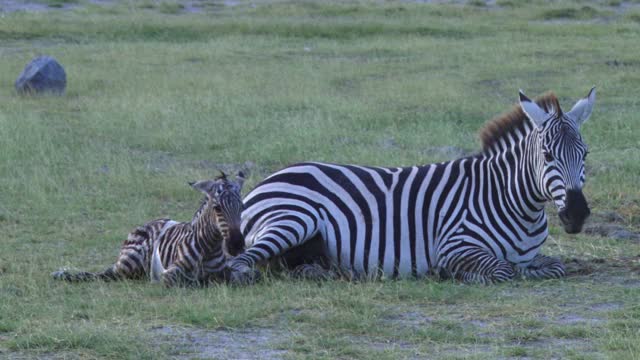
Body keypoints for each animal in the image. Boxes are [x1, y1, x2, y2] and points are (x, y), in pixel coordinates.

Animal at [53, 172, 245, 286]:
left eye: (242, 206)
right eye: (217, 208)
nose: (237, 245)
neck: (209, 247)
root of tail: (146, 224)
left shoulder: (226, 273)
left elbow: (238, 278)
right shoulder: (169, 273)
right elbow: (181, 281)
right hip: (130, 262)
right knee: (108, 274)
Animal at [228, 89, 596, 284]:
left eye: (586, 154)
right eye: (547, 155)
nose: (577, 215)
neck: (509, 200)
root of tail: (269, 178)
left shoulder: (533, 257)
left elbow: (552, 266)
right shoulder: (455, 245)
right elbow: (502, 271)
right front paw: (451, 274)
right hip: (292, 219)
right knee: (242, 263)